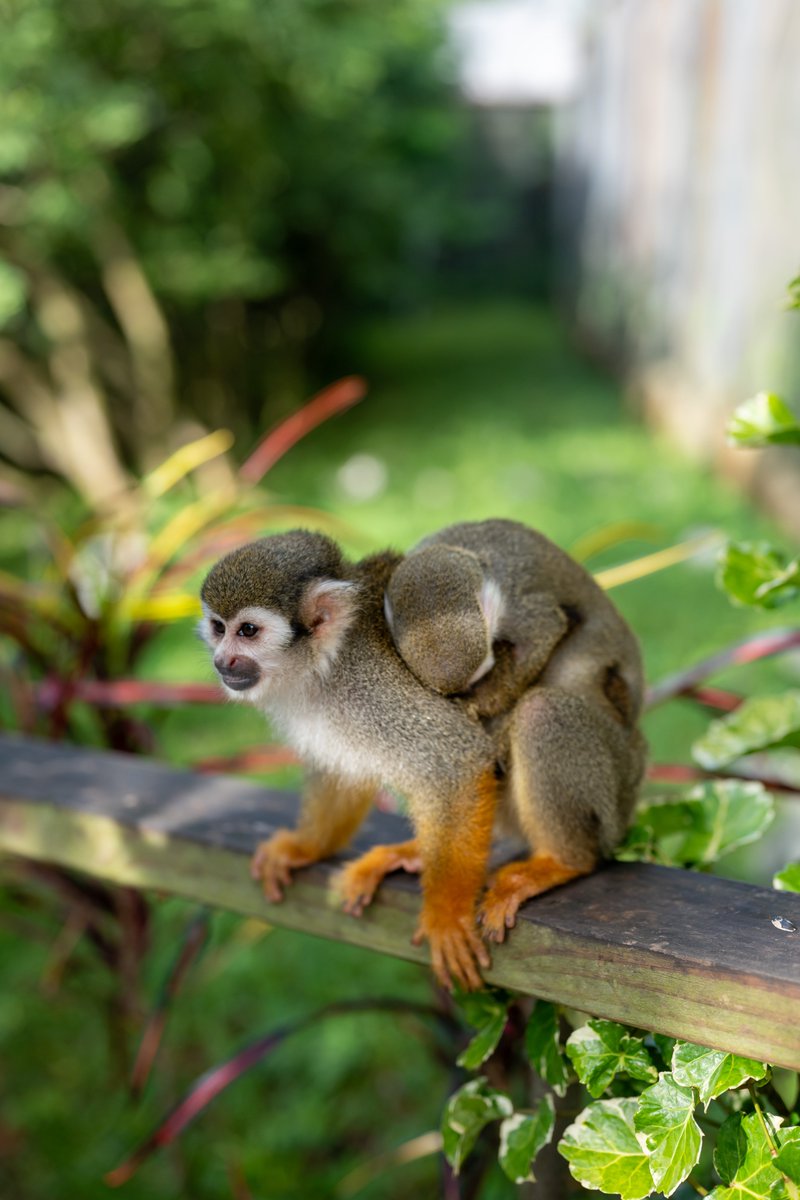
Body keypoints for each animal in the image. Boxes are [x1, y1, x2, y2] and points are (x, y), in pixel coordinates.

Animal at [199, 524, 646, 990]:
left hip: (613, 783)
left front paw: (446, 917)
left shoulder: (373, 687)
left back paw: (561, 862)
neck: (325, 664)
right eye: (218, 627)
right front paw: (306, 846)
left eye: (248, 631)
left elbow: (456, 763)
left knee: (542, 713)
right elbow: (341, 771)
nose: (222, 661)